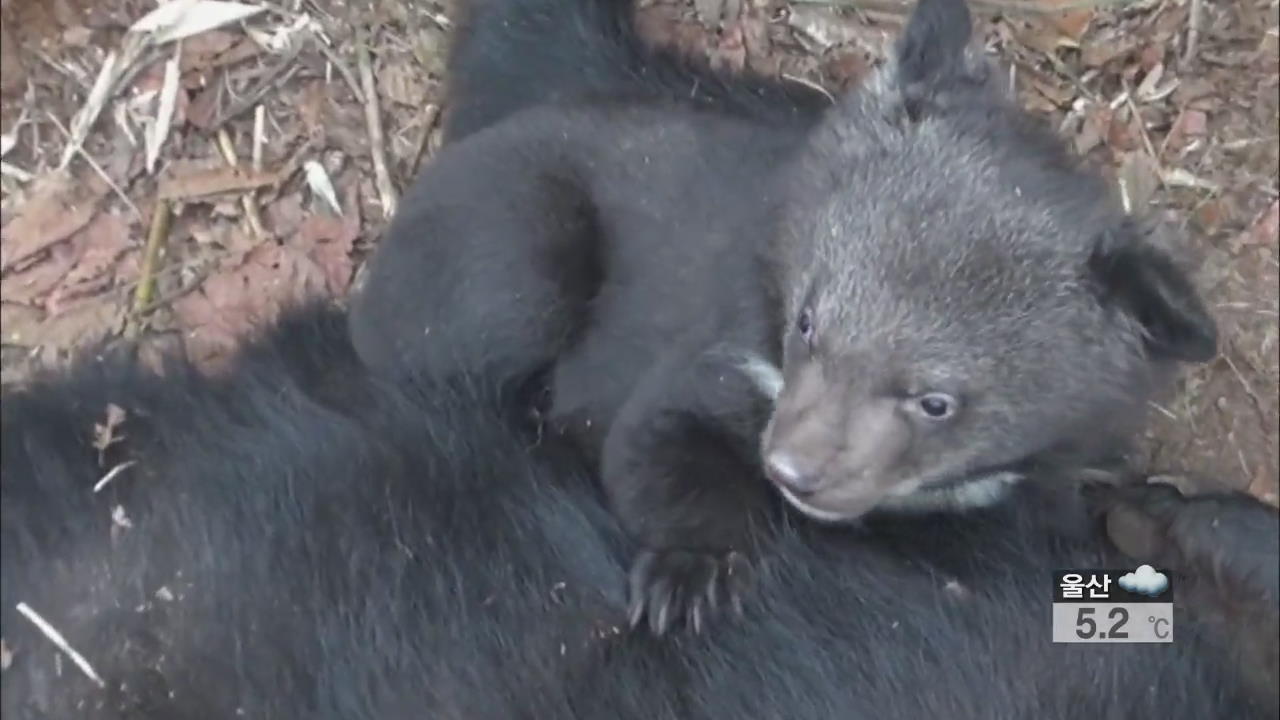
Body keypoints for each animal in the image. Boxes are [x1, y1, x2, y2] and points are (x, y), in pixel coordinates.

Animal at [350, 0, 1218, 627]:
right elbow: (658, 435)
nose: (793, 470)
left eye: (935, 401)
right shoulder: (728, 343)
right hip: (515, 231)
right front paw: (687, 584)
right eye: (807, 322)